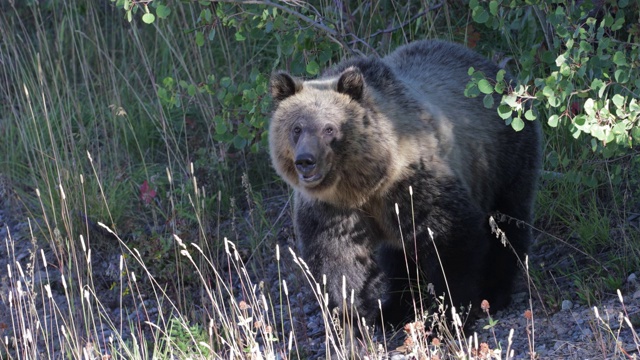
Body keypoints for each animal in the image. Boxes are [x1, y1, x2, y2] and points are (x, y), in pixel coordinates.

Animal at [268, 40, 544, 332]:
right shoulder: (333, 209)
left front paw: (451, 316)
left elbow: (452, 242)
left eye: (329, 128)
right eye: (297, 128)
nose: (305, 161)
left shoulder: (417, 186)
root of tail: (495, 68)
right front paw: (351, 317)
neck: (364, 185)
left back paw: (496, 291)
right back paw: (393, 310)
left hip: (505, 157)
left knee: (508, 221)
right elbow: (338, 262)